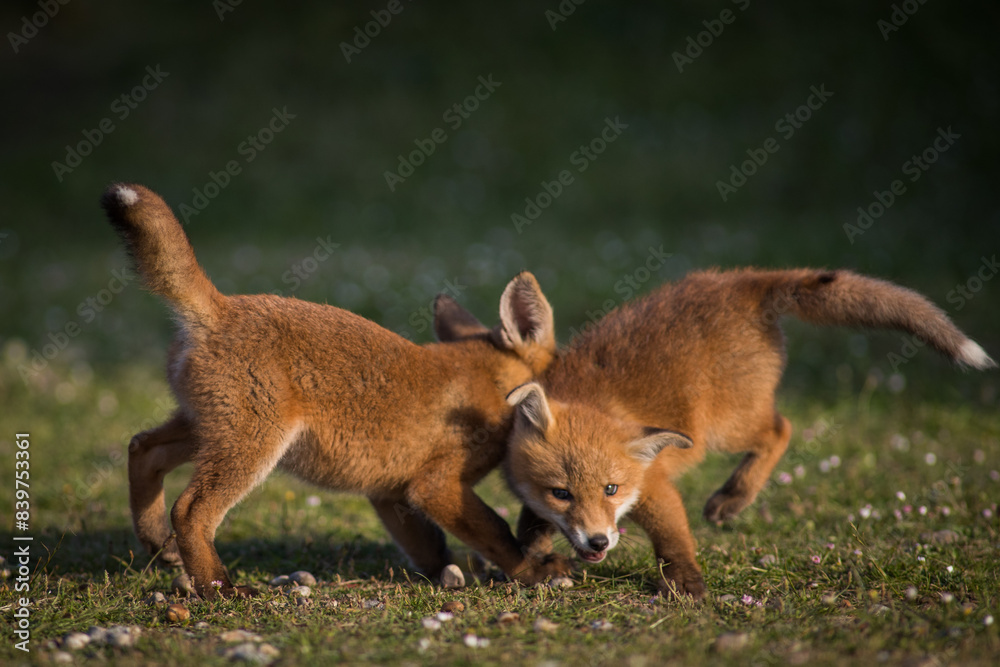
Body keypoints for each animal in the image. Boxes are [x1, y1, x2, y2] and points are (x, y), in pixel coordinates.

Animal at [100, 183, 570, 599]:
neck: (490, 381)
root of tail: (222, 308)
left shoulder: (390, 492)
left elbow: (429, 546)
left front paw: (447, 575)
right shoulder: (437, 485)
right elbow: (496, 532)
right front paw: (533, 570)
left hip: (205, 430)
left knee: (142, 449)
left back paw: (158, 543)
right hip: (252, 446)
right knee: (191, 511)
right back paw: (220, 588)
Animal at [434, 267, 996, 598]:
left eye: (613, 489)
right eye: (562, 493)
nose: (597, 541)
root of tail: (742, 280)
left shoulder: (654, 485)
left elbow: (672, 537)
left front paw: (685, 582)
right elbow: (531, 524)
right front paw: (535, 553)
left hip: (727, 426)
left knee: (781, 428)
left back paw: (733, 497)